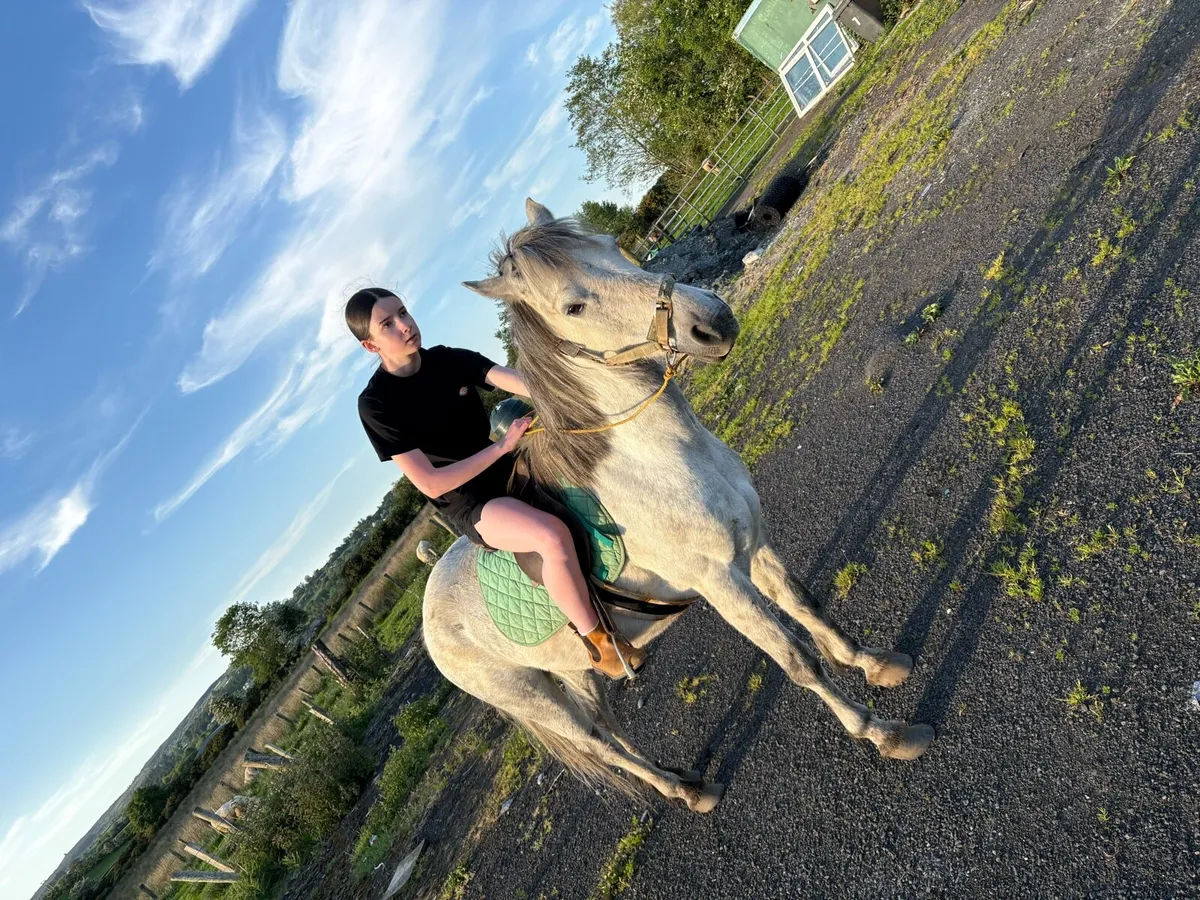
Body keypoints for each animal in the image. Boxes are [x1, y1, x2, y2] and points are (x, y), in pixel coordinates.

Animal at [421, 199, 934, 812]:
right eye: (572, 305)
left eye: (612, 245)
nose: (712, 320)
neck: (661, 460)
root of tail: (429, 609)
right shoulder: (718, 581)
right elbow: (797, 659)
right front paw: (882, 732)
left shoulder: (754, 544)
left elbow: (808, 607)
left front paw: (876, 664)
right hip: (535, 698)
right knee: (599, 746)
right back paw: (685, 792)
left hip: (577, 674)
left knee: (612, 730)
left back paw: (685, 780)